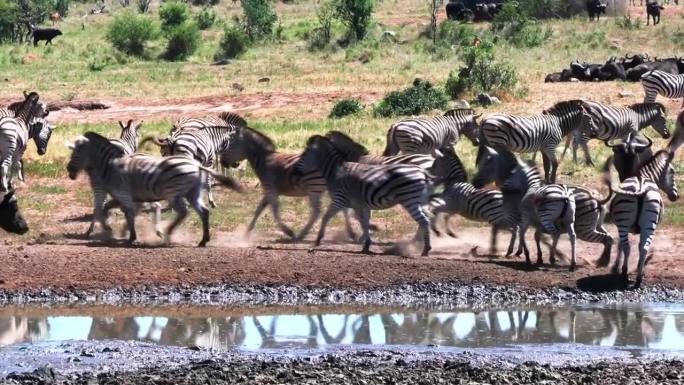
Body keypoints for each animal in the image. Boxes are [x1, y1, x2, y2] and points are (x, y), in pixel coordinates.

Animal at [66, 132, 243, 246]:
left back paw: (168, 234)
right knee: (204, 212)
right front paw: (110, 230)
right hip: (192, 193)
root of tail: (197, 165)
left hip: (173, 193)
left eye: (76, 154)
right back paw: (203, 240)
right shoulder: (123, 196)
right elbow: (108, 209)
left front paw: (131, 237)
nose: (69, 170)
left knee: (183, 212)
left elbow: (127, 214)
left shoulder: (124, 195)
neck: (111, 166)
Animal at [296, 134, 430, 255]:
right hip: (419, 201)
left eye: (305, 154)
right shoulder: (358, 204)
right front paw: (366, 243)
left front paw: (318, 240)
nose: (296, 172)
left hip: (410, 200)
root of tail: (421, 171)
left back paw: (425, 249)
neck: (335, 171)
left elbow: (326, 217)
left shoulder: (339, 199)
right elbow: (363, 222)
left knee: (424, 221)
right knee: (428, 218)